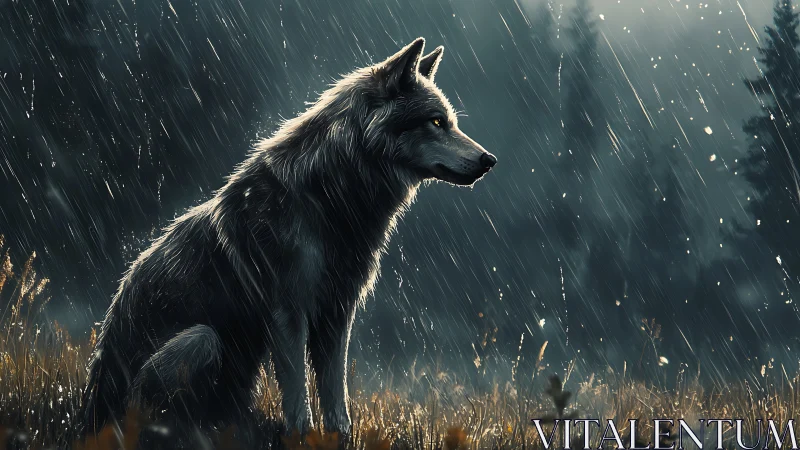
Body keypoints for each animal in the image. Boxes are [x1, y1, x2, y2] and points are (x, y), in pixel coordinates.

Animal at [79, 37, 496, 438]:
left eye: (451, 123)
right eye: (436, 121)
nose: (489, 160)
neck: (331, 199)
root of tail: (88, 412)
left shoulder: (338, 312)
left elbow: (335, 396)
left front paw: (340, 439)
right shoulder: (287, 312)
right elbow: (298, 397)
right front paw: (300, 438)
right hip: (201, 340)